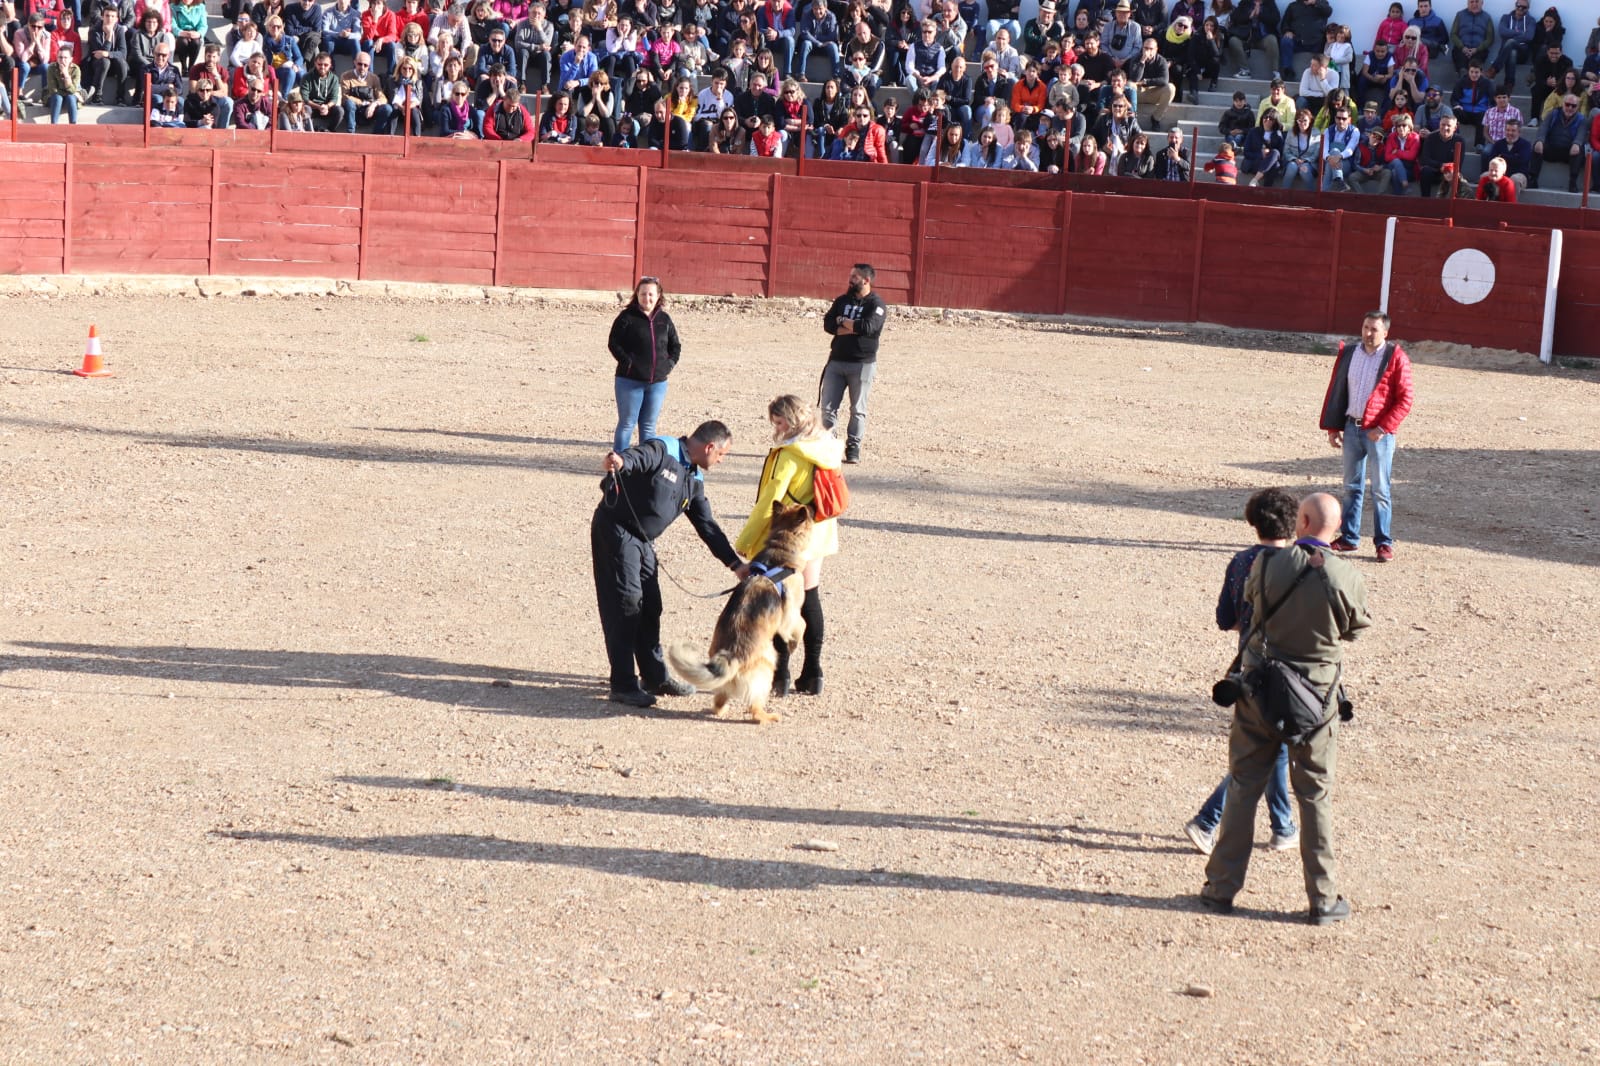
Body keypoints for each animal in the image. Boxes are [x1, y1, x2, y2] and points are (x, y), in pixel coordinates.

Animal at [665, 499, 812, 723]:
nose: (812, 507)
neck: (780, 547)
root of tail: (732, 657)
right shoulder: (790, 615)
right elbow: (801, 625)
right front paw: (794, 644)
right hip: (768, 667)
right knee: (754, 707)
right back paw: (767, 716)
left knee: (719, 701)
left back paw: (721, 710)